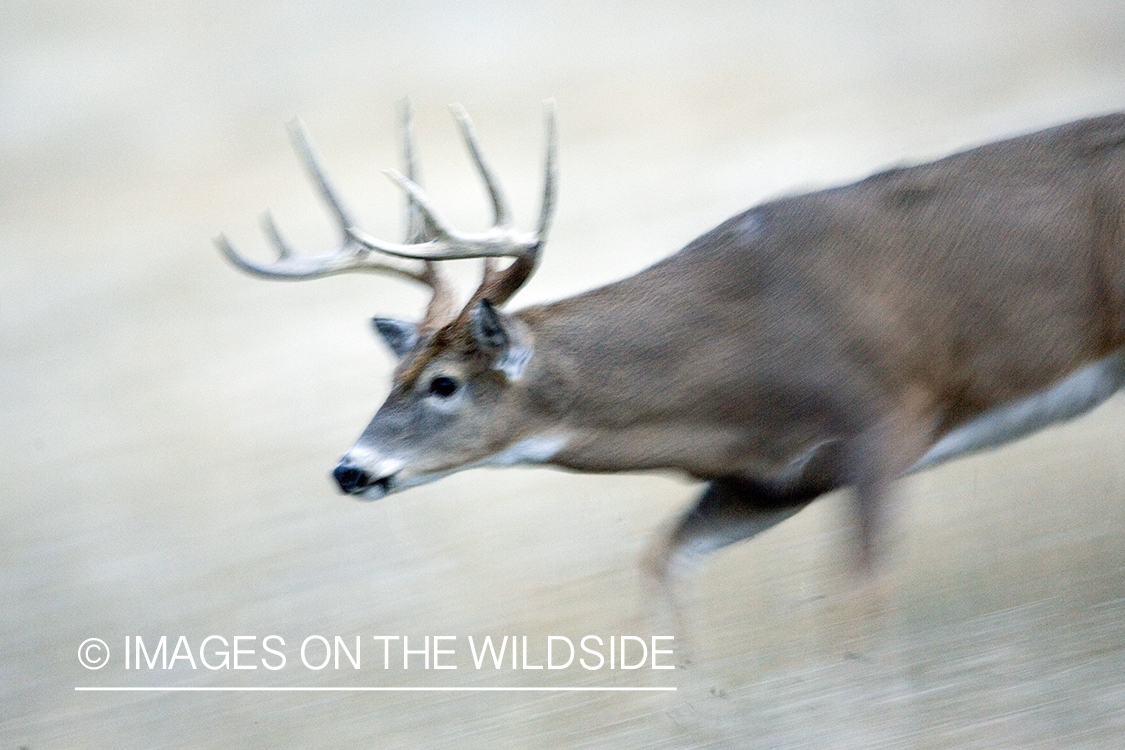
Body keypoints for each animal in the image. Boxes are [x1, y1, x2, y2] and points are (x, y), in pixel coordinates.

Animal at [217, 104, 1125, 575]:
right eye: (390, 377)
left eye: (443, 383)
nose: (348, 469)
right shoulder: (769, 481)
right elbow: (662, 569)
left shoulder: (886, 417)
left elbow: (854, 604)